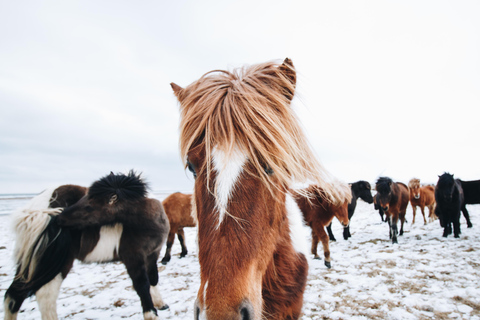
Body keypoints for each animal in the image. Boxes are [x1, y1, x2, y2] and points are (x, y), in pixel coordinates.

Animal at [4, 171, 170, 320]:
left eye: (89, 206)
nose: (59, 218)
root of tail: (34, 209)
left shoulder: (152, 254)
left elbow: (153, 278)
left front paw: (161, 304)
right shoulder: (133, 258)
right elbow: (142, 285)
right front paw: (151, 314)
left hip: (32, 263)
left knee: (14, 295)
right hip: (57, 264)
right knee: (45, 295)